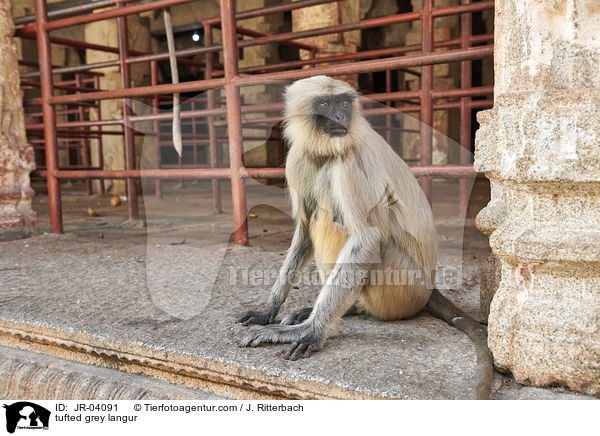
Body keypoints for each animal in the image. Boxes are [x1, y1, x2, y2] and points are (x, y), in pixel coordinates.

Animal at [237, 75, 494, 398]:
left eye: (345, 104)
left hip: (402, 286)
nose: (340, 117)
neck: (324, 151)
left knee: (339, 220)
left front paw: (310, 331)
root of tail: (429, 287)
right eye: (325, 104)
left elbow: (367, 239)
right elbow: (304, 230)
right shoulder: (297, 158)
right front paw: (269, 310)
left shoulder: (350, 162)